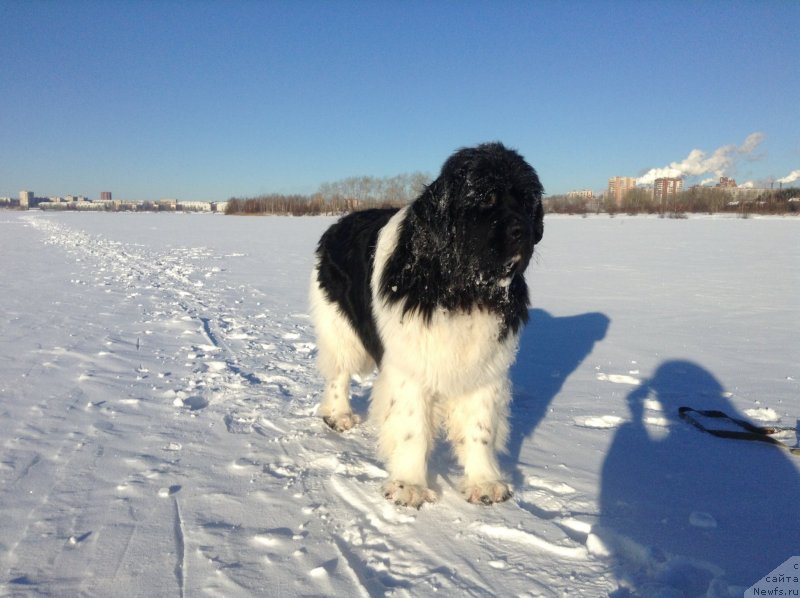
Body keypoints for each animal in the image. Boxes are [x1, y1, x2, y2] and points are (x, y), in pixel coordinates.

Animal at [310, 143, 544, 508]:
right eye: (485, 199)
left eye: (526, 201)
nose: (525, 232)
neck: (463, 289)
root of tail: (339, 221)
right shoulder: (412, 364)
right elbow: (412, 427)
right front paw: (409, 486)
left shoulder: (485, 365)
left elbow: (480, 426)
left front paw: (484, 482)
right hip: (340, 327)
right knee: (340, 372)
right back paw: (339, 415)